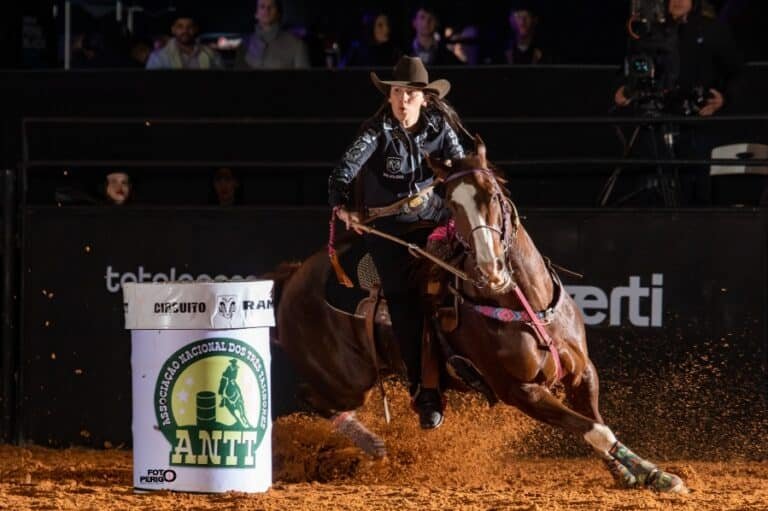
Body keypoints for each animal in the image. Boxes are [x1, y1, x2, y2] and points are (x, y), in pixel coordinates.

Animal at [271, 139, 687, 493]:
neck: (525, 303)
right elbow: (593, 430)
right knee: (310, 397)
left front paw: (649, 473)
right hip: (347, 378)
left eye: (494, 196)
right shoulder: (520, 391)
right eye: (453, 206)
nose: (491, 269)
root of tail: (293, 276)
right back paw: (373, 444)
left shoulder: (583, 372)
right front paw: (646, 474)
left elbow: (597, 424)